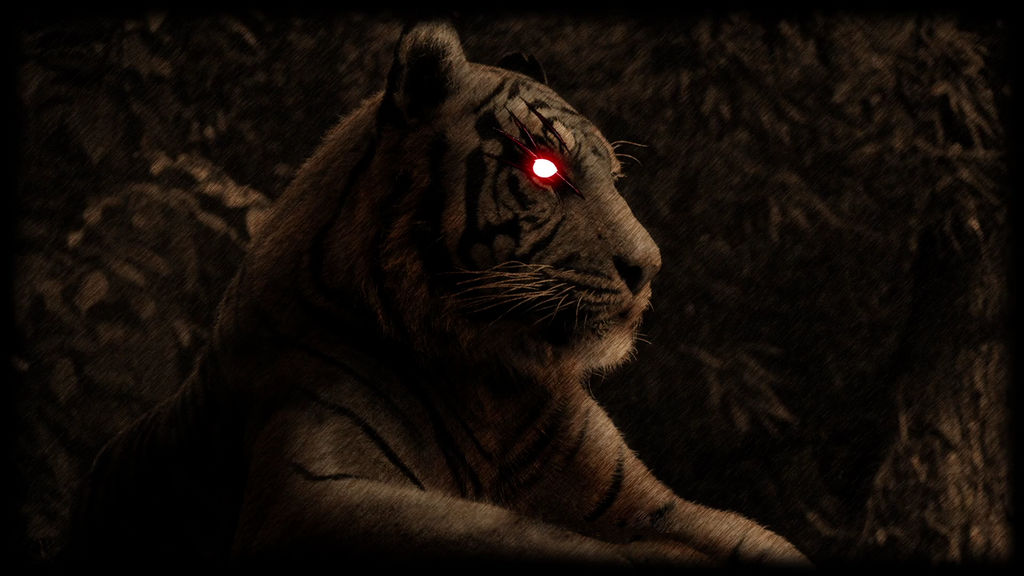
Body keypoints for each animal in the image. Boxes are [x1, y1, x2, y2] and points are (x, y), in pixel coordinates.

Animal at [67, 20, 810, 567]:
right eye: (546, 169)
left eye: (613, 175)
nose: (649, 267)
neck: (490, 383)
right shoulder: (312, 492)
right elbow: (527, 538)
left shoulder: (642, 500)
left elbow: (754, 540)